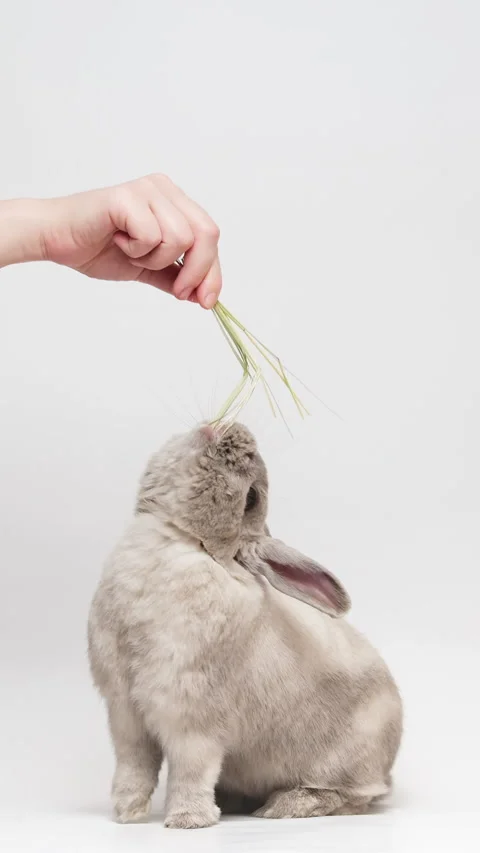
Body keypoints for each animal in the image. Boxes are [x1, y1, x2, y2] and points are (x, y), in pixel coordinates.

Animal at [88, 423, 402, 829]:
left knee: (353, 798)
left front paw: (188, 820)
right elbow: (134, 767)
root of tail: (387, 769)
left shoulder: (192, 718)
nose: (235, 429)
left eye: (250, 498)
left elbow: (190, 770)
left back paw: (285, 806)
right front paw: (126, 814)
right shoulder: (125, 712)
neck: (184, 541)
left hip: (347, 764)